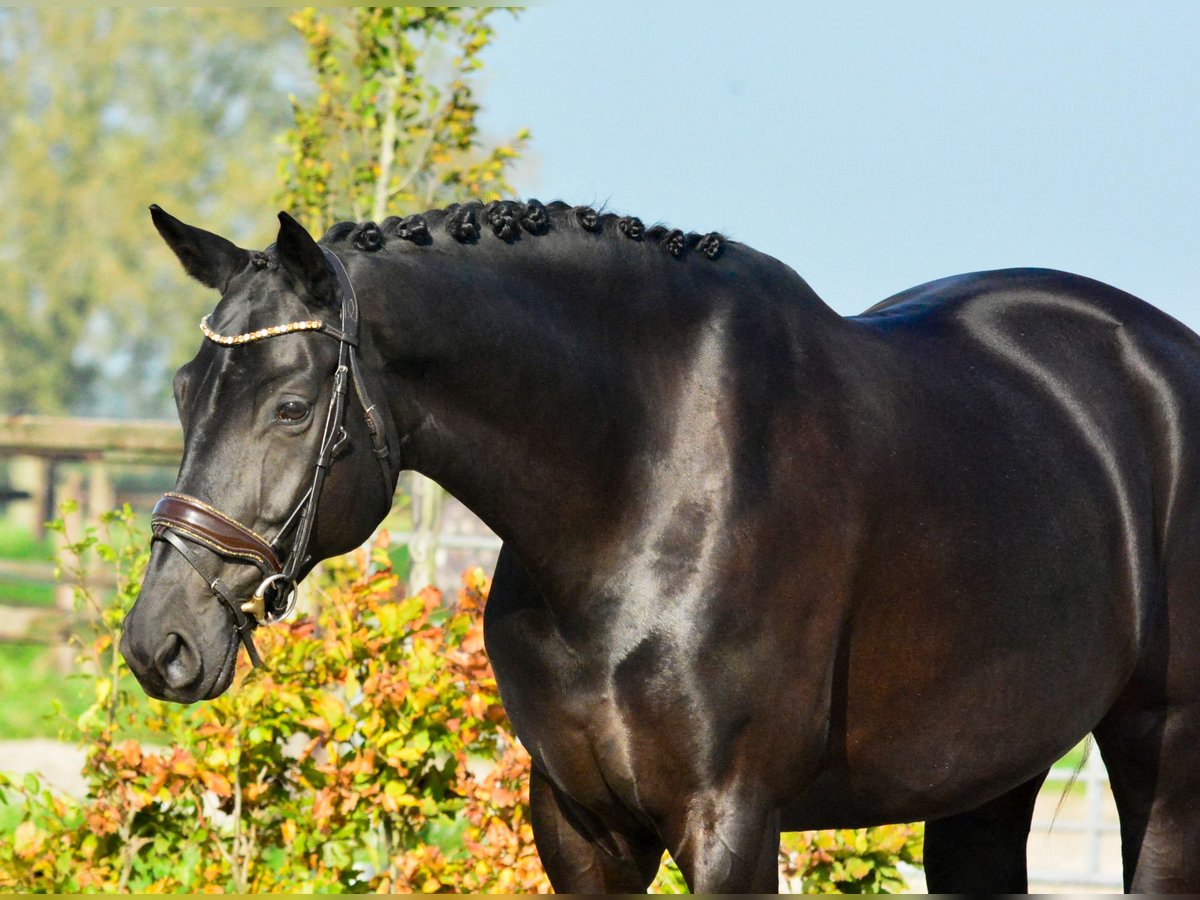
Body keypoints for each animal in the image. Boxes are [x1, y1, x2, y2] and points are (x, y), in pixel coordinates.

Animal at [121, 200, 1200, 897]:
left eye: (292, 406)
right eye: (181, 389)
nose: (158, 642)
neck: (642, 485)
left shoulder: (731, 823)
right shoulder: (580, 827)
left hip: (1162, 745)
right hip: (988, 774)